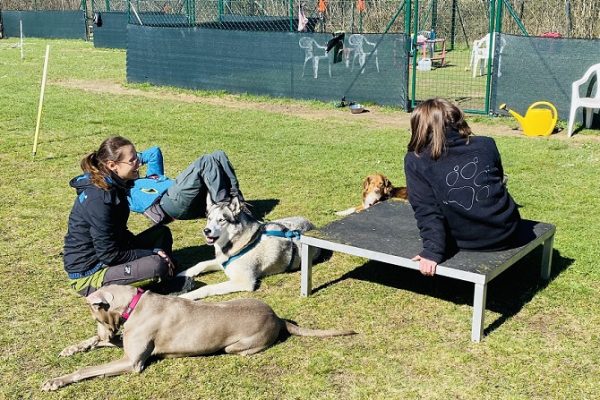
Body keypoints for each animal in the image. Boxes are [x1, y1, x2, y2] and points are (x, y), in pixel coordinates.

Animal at [43, 284, 356, 390]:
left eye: (96, 316)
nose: (103, 330)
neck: (134, 303)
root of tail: (278, 317)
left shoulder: (132, 362)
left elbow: (88, 369)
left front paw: (56, 380)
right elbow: (97, 344)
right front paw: (74, 347)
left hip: (236, 346)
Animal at [178, 197, 318, 300]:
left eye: (222, 220)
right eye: (209, 218)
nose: (206, 231)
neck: (244, 242)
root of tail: (312, 225)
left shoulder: (244, 281)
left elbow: (208, 288)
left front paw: (188, 296)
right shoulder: (222, 262)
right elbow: (201, 264)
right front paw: (182, 273)